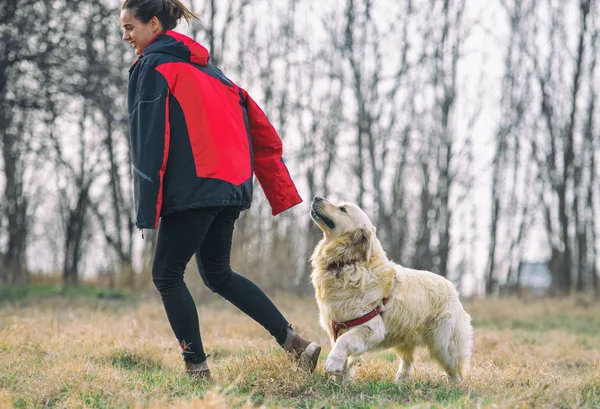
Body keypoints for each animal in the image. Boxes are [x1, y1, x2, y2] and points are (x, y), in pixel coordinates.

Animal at [310, 198, 474, 382]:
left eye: (342, 209)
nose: (317, 198)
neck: (348, 262)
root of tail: (452, 287)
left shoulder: (371, 327)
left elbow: (343, 341)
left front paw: (333, 362)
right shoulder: (337, 326)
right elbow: (344, 360)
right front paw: (339, 382)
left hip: (444, 344)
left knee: (454, 370)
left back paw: (453, 385)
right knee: (408, 361)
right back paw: (400, 381)